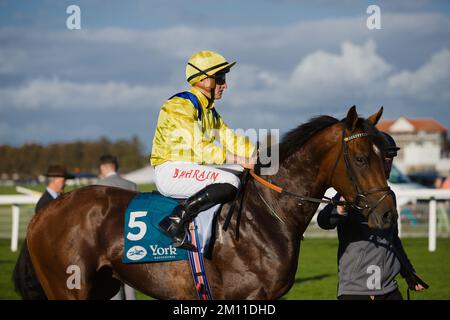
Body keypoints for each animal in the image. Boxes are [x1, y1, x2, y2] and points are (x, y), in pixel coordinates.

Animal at [12, 105, 396, 300]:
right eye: (361, 158)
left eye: (387, 158)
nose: (387, 213)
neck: (267, 215)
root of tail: (47, 211)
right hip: (68, 289)